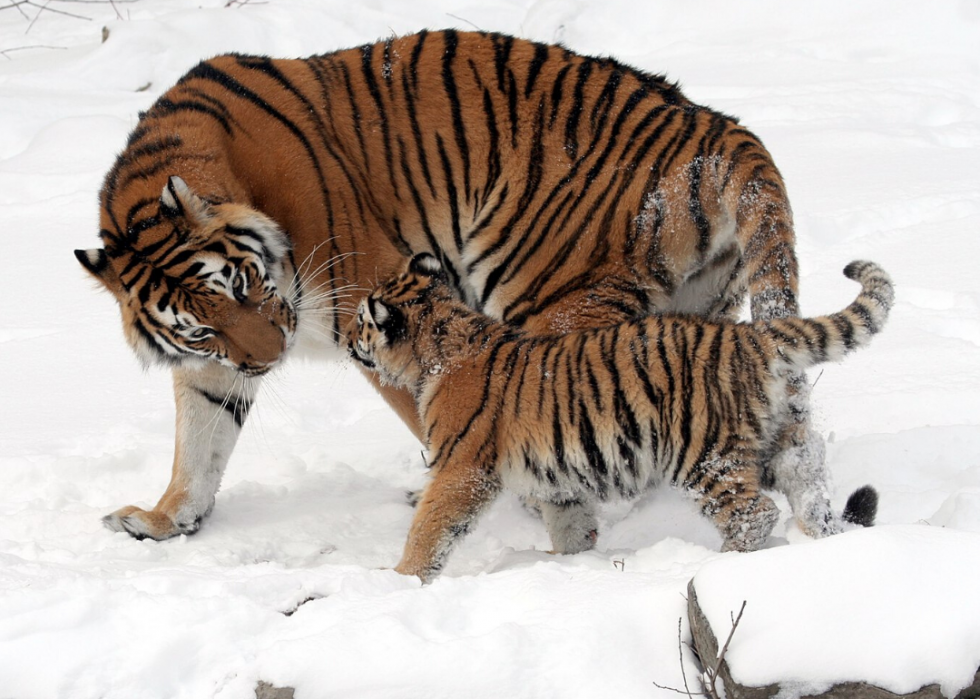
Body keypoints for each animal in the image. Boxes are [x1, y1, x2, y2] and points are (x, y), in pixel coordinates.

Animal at [74, 30, 828, 548]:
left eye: (242, 283)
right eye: (202, 326)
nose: (270, 357)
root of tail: (715, 125)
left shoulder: (373, 300)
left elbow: (434, 411)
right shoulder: (214, 363)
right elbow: (199, 439)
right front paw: (164, 519)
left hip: (553, 299)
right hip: (699, 314)